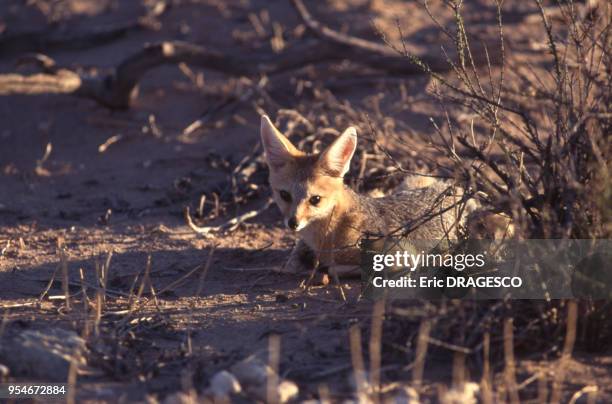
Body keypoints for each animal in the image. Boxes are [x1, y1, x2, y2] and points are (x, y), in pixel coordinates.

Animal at [258, 115, 506, 276]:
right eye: (284, 195)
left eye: (315, 199)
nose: (293, 223)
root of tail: (458, 191)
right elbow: (295, 261)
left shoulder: (403, 255)